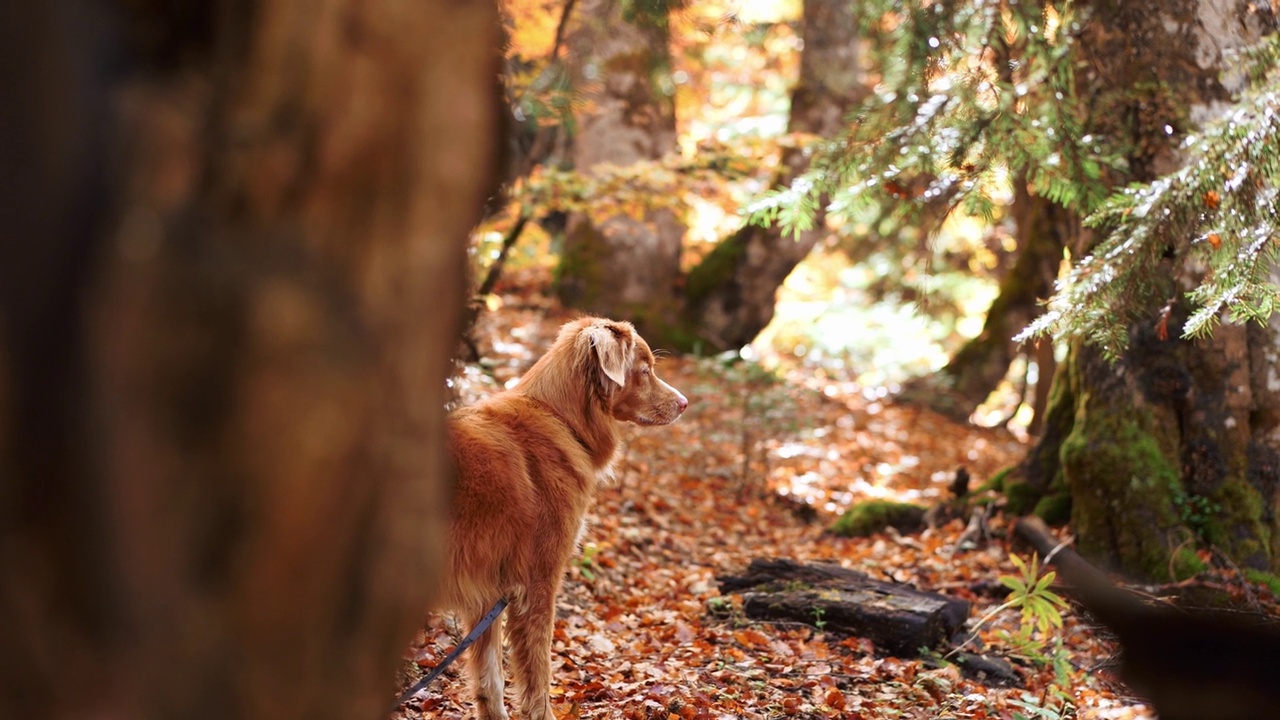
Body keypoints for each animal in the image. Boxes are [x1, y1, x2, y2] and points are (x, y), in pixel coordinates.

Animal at [442, 315, 686, 717]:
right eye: (645, 369)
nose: (684, 403)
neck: (560, 418)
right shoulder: (537, 582)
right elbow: (538, 670)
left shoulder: (487, 593)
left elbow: (490, 680)